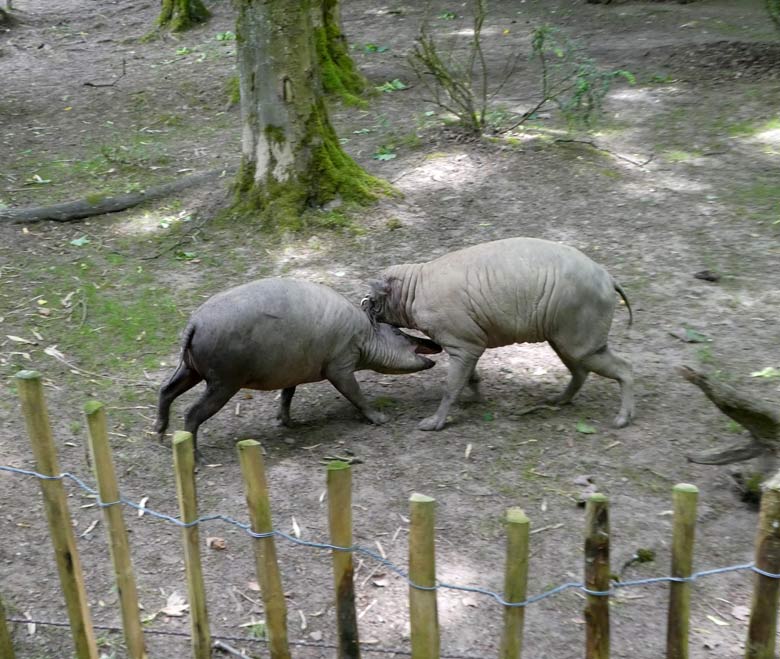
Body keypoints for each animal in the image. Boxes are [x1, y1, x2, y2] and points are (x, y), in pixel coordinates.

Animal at [155, 278, 442, 454]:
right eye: (400, 333)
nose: (436, 344)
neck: (366, 336)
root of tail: (194, 324)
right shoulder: (340, 367)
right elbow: (356, 395)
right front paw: (378, 418)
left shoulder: (291, 372)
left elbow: (287, 395)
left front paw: (287, 422)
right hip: (224, 382)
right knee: (192, 413)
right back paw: (195, 457)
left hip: (191, 369)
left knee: (166, 391)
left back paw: (159, 432)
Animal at [364, 237, 632, 434]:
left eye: (374, 298)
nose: (363, 305)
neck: (412, 290)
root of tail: (610, 279)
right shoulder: (468, 345)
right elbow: (470, 377)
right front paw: (476, 399)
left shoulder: (463, 345)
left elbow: (451, 386)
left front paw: (434, 423)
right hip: (563, 339)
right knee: (580, 371)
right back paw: (558, 400)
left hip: (579, 339)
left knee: (624, 368)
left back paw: (623, 418)